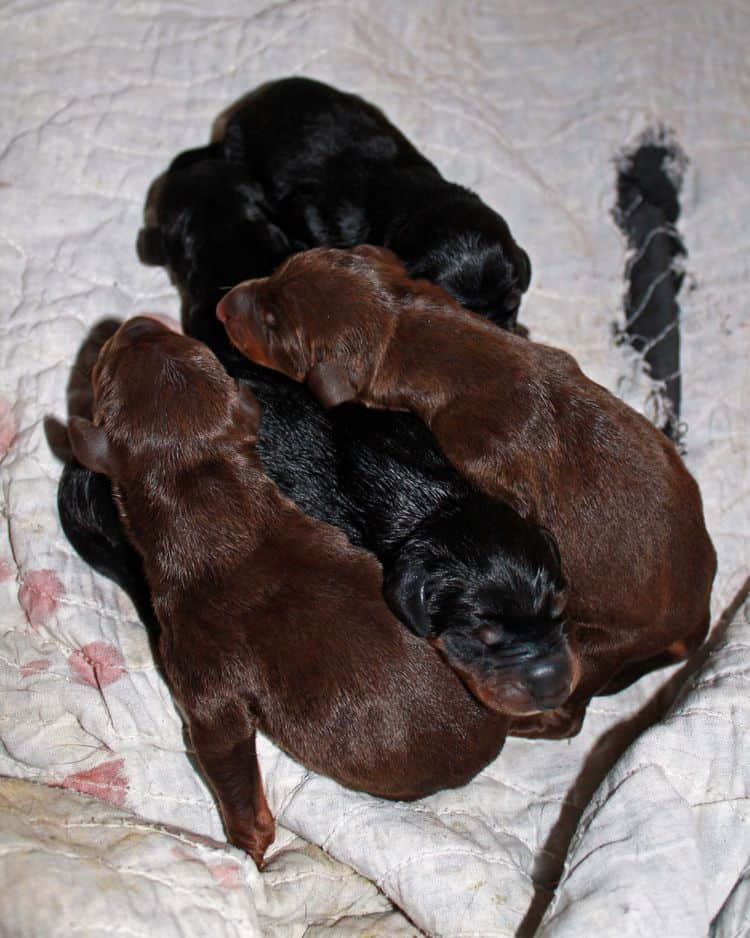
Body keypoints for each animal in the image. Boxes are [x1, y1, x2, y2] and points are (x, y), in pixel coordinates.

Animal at [66, 314, 512, 864]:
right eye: (190, 349)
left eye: (104, 371)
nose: (136, 323)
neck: (207, 496)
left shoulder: (200, 673)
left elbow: (226, 754)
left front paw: (251, 850)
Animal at [216, 243, 716, 740]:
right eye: (278, 270)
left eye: (273, 324)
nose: (222, 306)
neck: (412, 331)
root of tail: (699, 617)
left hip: (594, 644)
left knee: (568, 714)